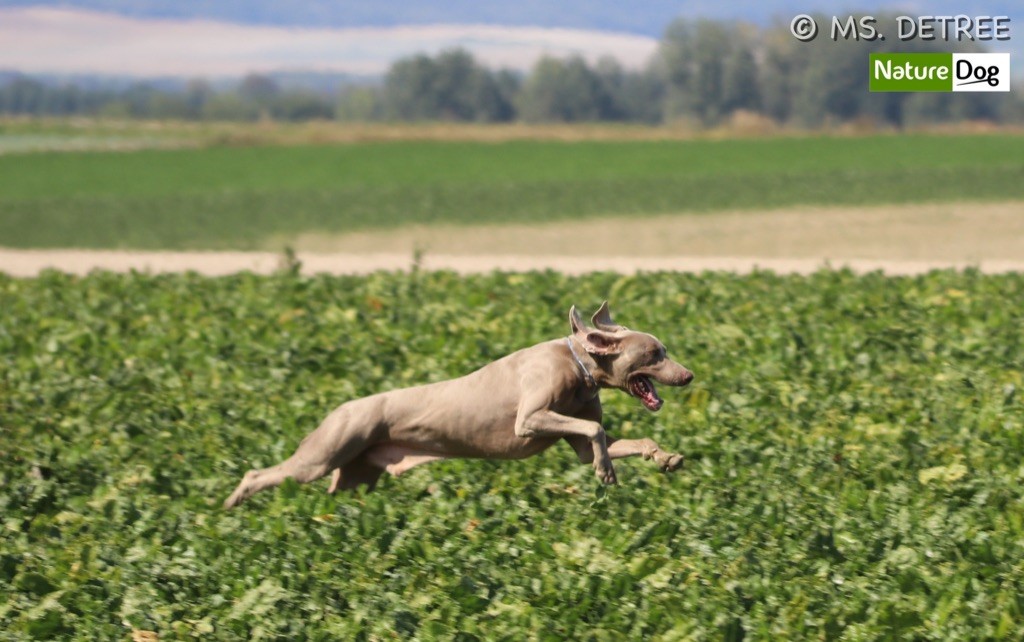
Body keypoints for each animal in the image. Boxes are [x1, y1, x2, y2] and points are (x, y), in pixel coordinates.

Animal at [223, 301, 688, 507]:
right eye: (654, 353)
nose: (688, 376)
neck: (580, 365)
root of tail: (339, 408)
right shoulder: (531, 418)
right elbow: (594, 430)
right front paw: (605, 472)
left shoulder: (574, 434)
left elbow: (610, 440)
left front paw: (664, 457)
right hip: (324, 453)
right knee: (260, 473)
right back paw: (231, 506)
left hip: (355, 474)